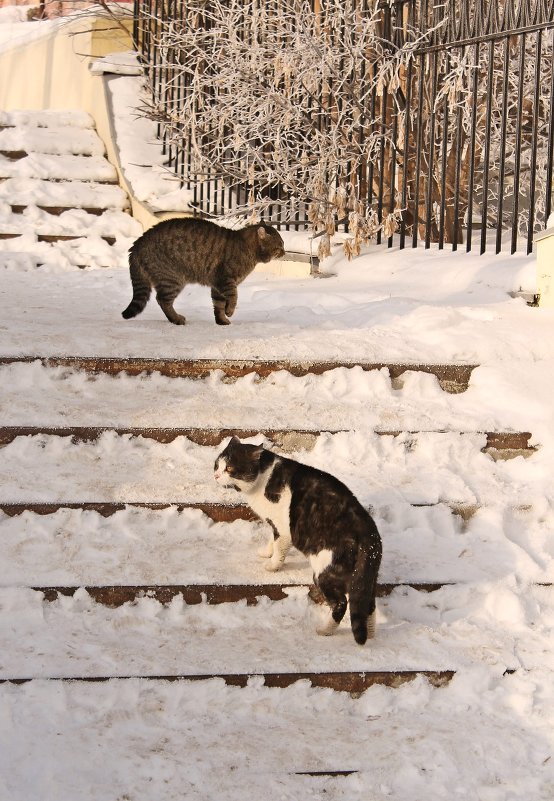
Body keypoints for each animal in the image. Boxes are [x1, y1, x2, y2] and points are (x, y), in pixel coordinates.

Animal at [121, 217, 284, 324]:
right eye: (279, 246)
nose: (284, 252)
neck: (246, 248)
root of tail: (137, 245)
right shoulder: (226, 281)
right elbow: (233, 297)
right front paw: (230, 312)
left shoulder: (217, 286)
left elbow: (218, 305)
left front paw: (222, 320)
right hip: (172, 279)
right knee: (162, 300)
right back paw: (176, 319)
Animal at [213, 438, 382, 644]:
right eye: (217, 464)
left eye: (229, 468)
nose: (216, 475)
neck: (263, 479)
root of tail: (369, 533)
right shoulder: (274, 525)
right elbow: (272, 540)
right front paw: (266, 552)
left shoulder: (283, 528)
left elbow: (279, 547)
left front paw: (272, 565)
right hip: (366, 579)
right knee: (367, 604)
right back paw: (371, 635)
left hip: (324, 572)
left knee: (341, 603)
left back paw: (325, 630)